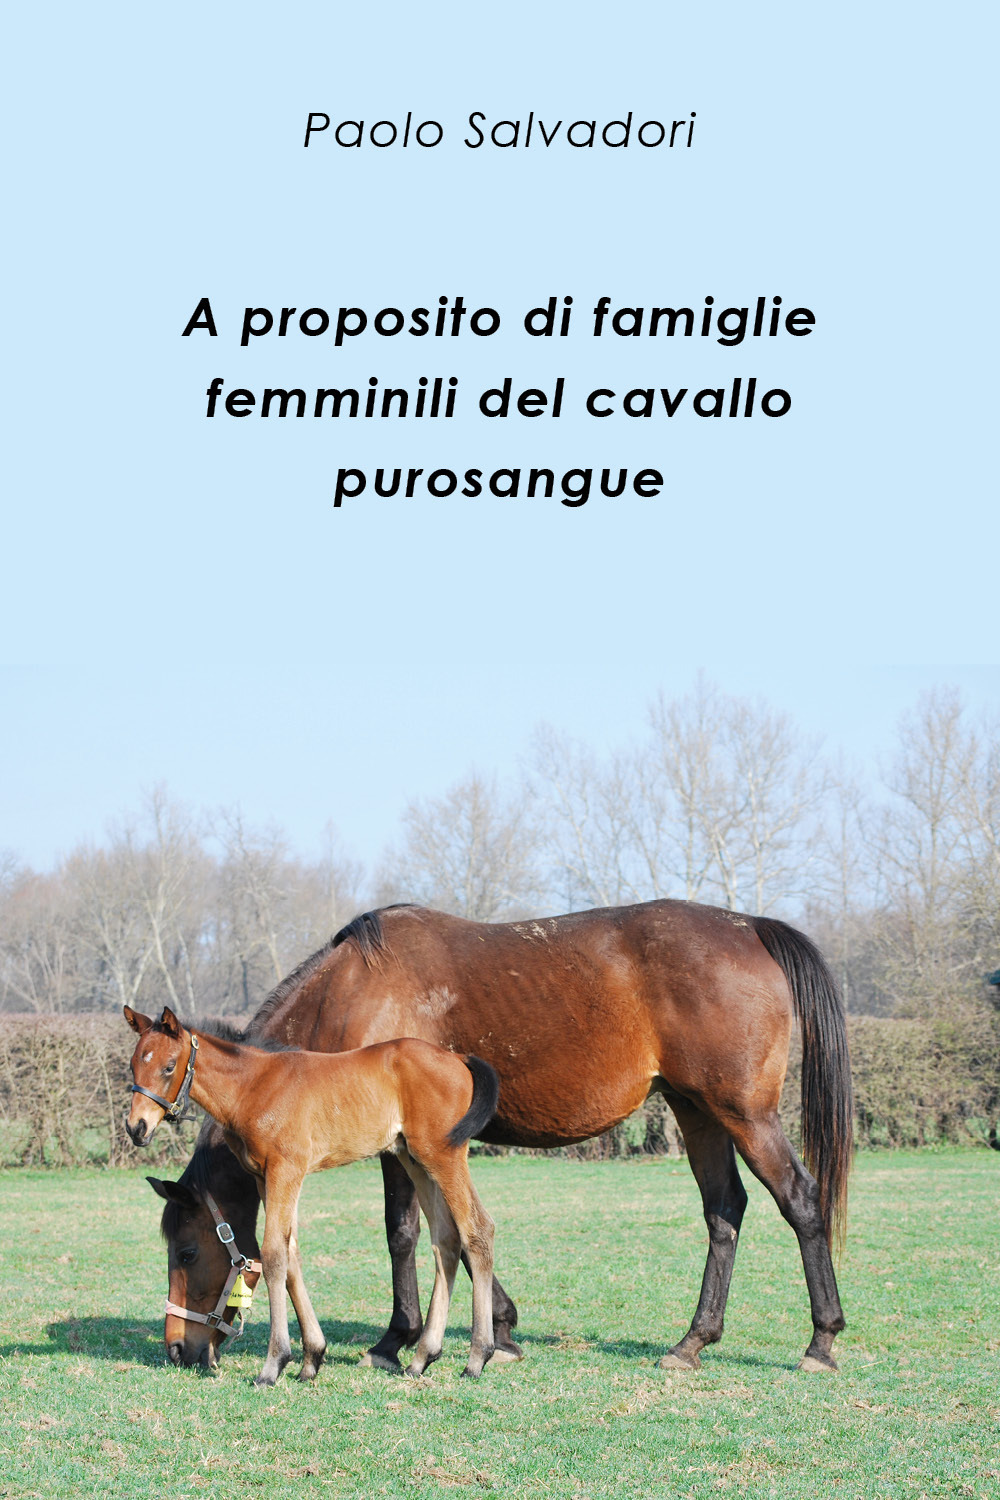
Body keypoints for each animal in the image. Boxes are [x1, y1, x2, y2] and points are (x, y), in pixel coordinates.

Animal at [124, 1005, 499, 1385]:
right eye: (133, 1065)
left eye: (187, 1254)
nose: (137, 1127)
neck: (253, 1087)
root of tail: (457, 1058)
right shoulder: (264, 1177)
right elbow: (291, 1254)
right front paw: (311, 1359)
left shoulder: (285, 1171)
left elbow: (274, 1255)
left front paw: (274, 1364)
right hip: (415, 1159)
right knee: (446, 1240)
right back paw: (422, 1357)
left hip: (443, 1155)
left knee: (477, 1230)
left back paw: (478, 1357)